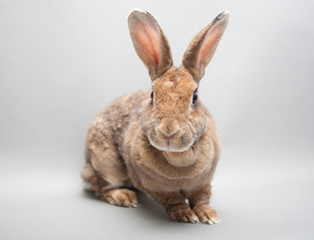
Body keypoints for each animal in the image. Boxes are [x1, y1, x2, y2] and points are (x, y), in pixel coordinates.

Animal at [80, 8, 228, 224]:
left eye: (195, 97)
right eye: (152, 95)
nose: (168, 131)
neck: (178, 158)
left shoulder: (204, 183)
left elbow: (201, 198)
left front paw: (209, 216)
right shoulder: (154, 186)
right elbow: (173, 200)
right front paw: (185, 215)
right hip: (106, 164)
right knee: (99, 187)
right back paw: (124, 197)